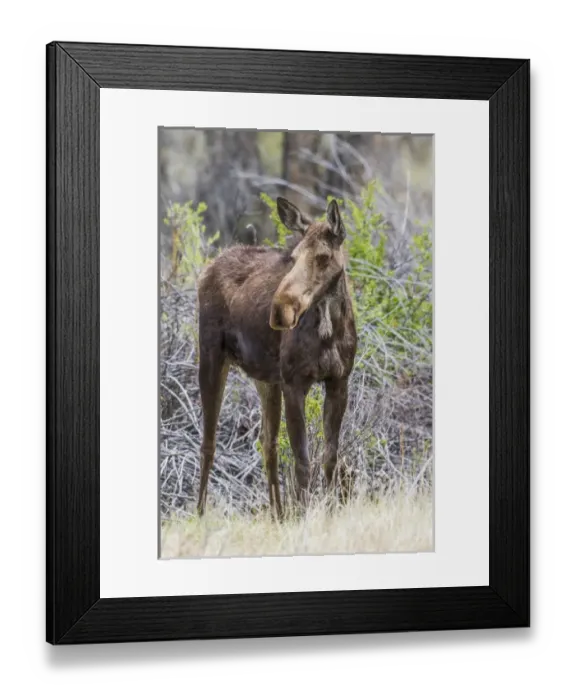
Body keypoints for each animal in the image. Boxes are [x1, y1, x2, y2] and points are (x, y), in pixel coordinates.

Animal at [196, 196, 357, 519]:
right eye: (293, 258)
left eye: (323, 257)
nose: (280, 310)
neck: (329, 330)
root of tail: (209, 267)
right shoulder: (294, 383)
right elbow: (302, 459)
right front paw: (303, 516)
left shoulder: (339, 382)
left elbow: (330, 457)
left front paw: (330, 512)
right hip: (211, 356)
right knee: (209, 441)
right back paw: (200, 514)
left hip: (266, 379)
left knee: (267, 443)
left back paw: (278, 515)